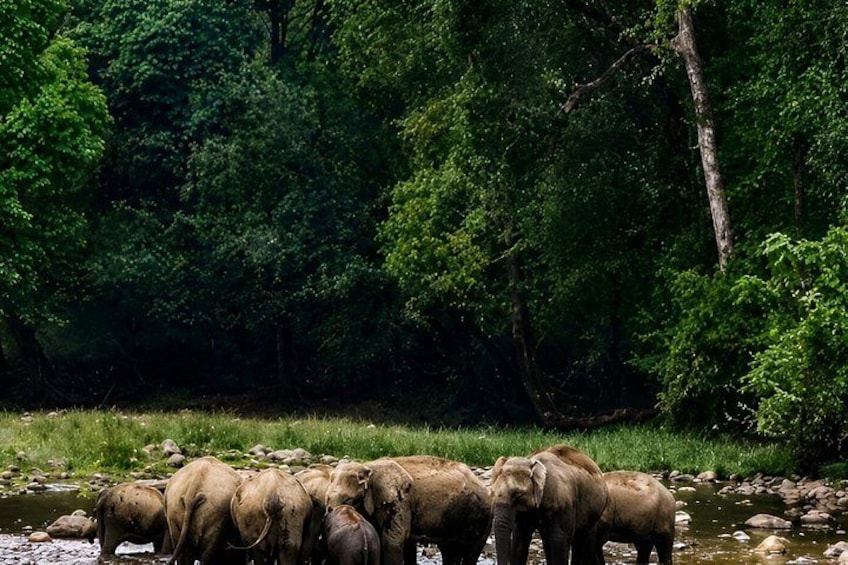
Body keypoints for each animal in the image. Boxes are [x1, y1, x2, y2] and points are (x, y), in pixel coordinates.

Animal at [325, 455, 492, 565]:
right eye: (326, 499)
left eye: (349, 500)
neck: (368, 466)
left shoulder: (401, 501)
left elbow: (393, 540)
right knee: (449, 551)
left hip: (482, 516)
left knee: (470, 552)